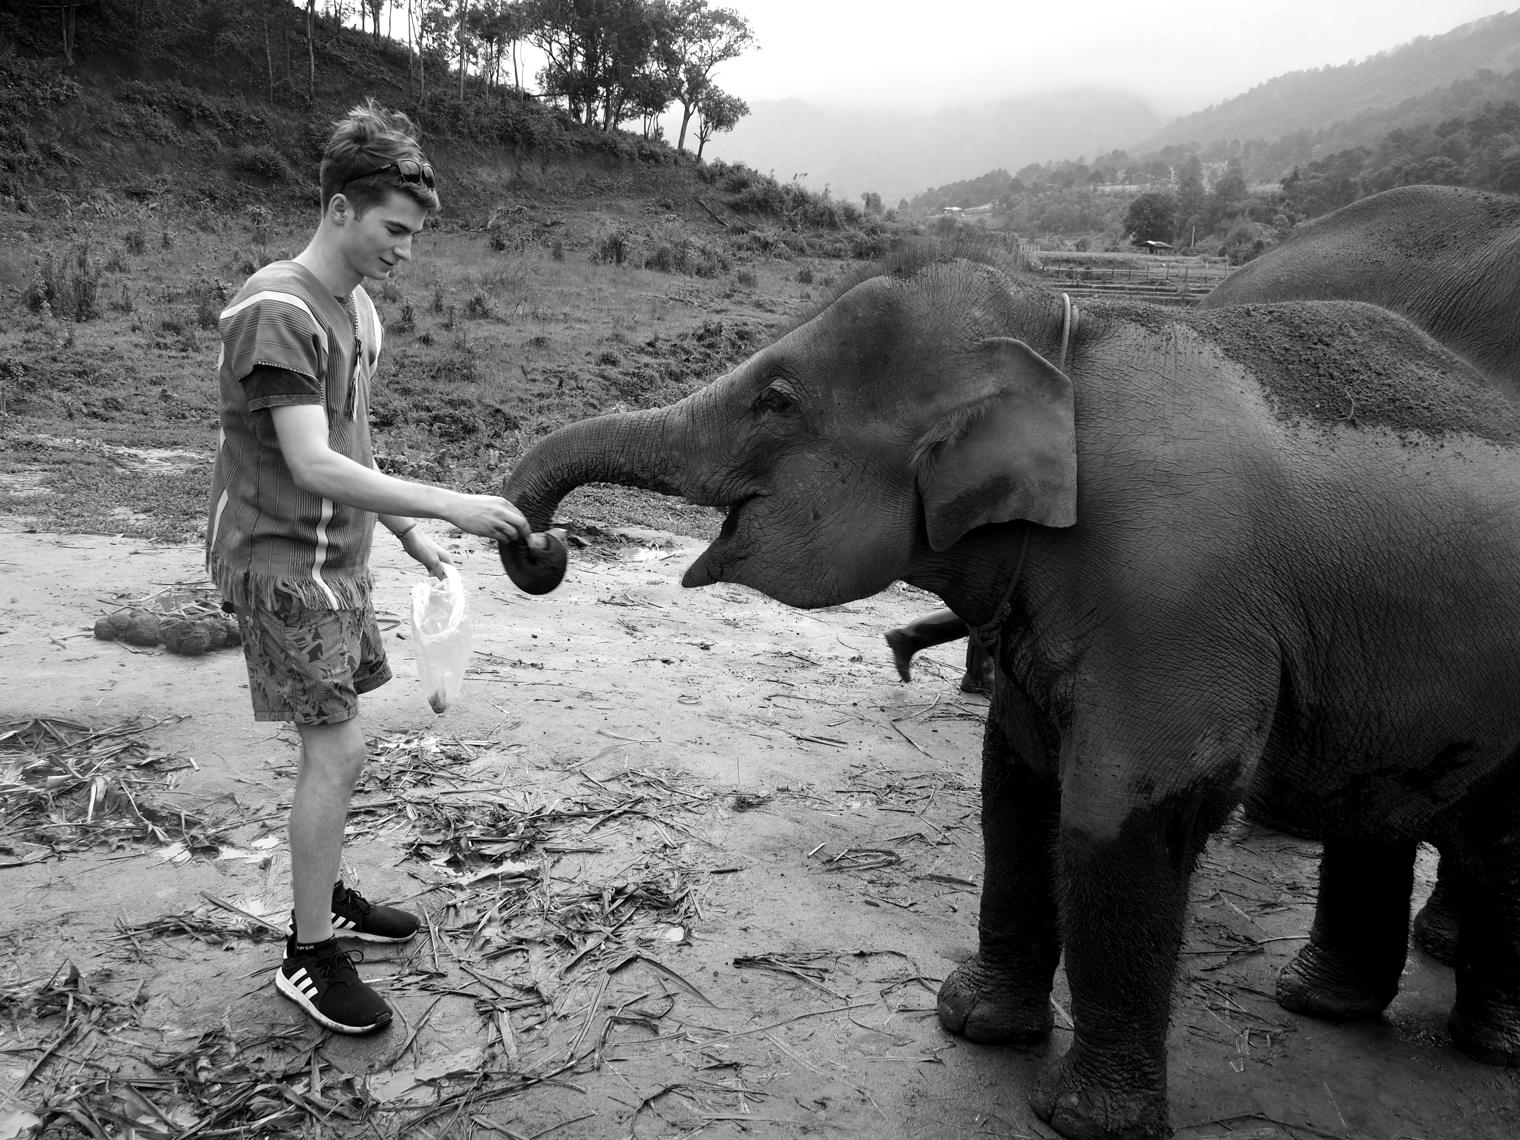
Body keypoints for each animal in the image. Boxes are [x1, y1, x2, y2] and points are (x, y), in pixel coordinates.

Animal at [498, 254, 1520, 1140]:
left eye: (777, 401)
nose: (541, 547)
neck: (1063, 338)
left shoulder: (1175, 593)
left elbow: (1118, 806)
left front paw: (1080, 1122)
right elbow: (1016, 781)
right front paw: (971, 1025)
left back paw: (1473, 1047)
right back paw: (1331, 1007)